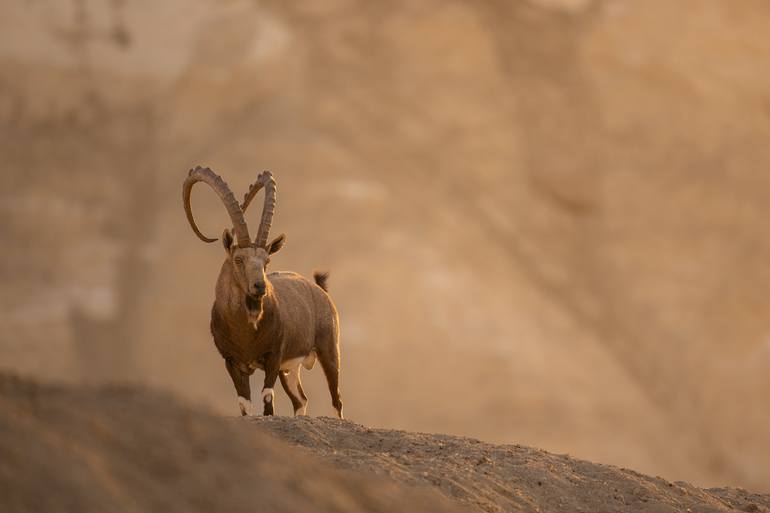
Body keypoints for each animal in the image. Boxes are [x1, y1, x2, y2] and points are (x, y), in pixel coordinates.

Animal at [182, 166, 340, 418]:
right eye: (238, 259)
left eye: (267, 261)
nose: (260, 287)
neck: (246, 330)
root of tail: (319, 289)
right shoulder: (232, 361)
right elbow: (244, 403)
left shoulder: (273, 357)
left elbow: (267, 398)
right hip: (290, 369)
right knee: (301, 400)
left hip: (329, 350)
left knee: (336, 400)